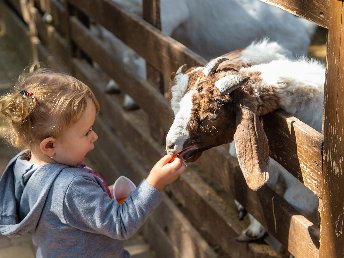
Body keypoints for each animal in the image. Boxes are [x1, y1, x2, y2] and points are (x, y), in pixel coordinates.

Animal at [165, 40, 324, 242]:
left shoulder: (307, 189)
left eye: (211, 115)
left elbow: (290, 211)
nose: (170, 145)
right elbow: (261, 196)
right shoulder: (268, 163)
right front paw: (255, 229)